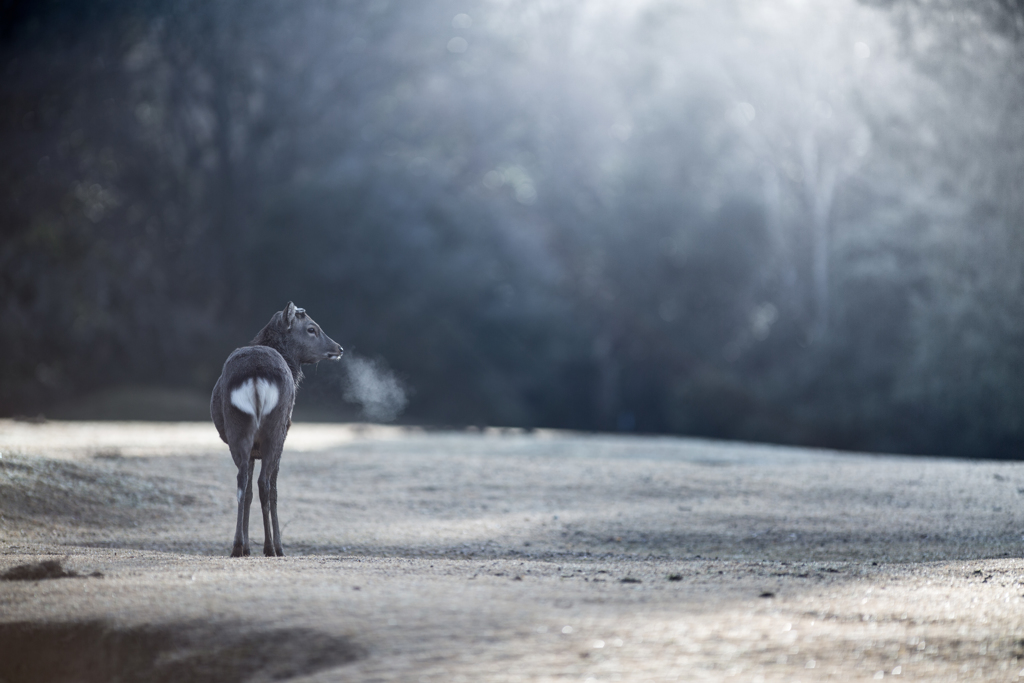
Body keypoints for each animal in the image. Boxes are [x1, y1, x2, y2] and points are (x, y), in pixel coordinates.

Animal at [209, 301, 342, 557]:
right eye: (312, 329)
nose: (339, 348)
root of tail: (255, 375)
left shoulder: (252, 452)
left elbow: (248, 493)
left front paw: (247, 546)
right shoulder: (284, 436)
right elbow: (273, 490)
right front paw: (276, 545)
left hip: (238, 427)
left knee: (242, 482)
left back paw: (238, 546)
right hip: (276, 429)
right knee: (265, 485)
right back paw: (272, 547)